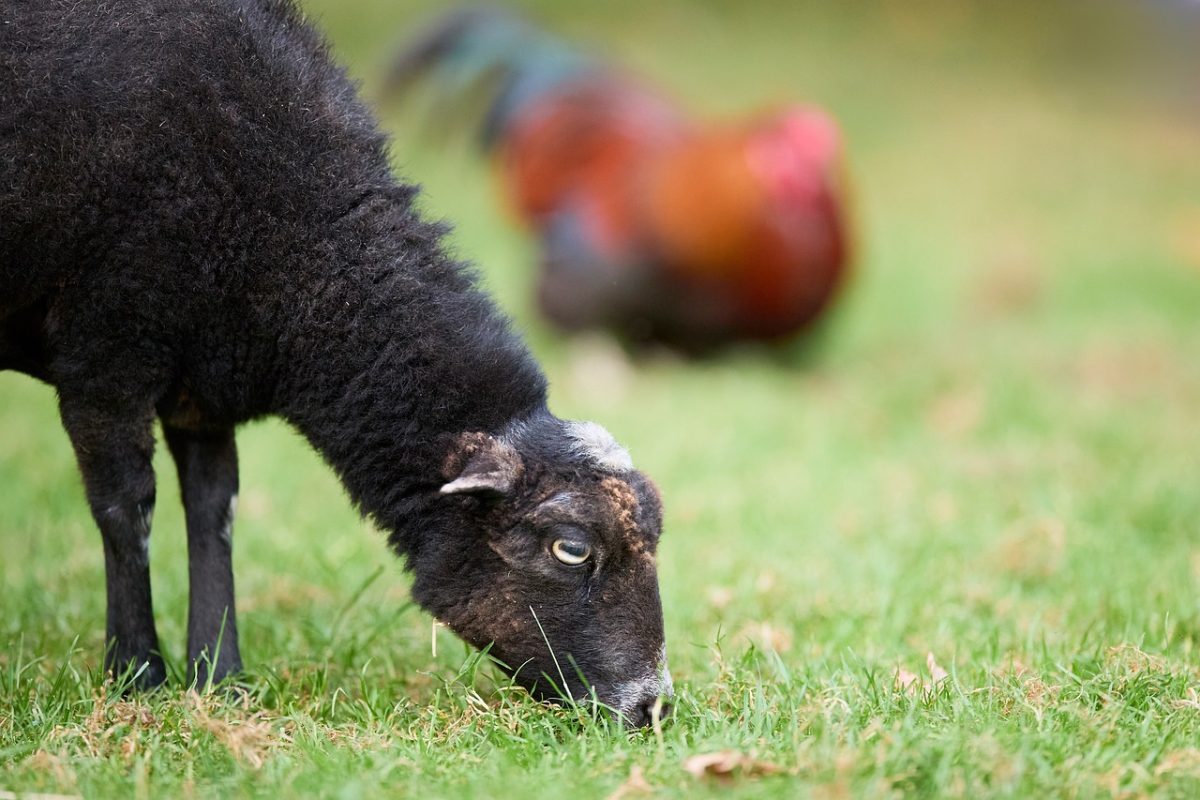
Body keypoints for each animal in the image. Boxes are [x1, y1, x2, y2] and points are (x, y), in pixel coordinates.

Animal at [0, 0, 672, 726]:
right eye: (571, 548)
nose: (652, 707)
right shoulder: (105, 357)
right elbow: (128, 509)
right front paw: (137, 676)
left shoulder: (202, 383)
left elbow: (213, 513)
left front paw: (220, 680)